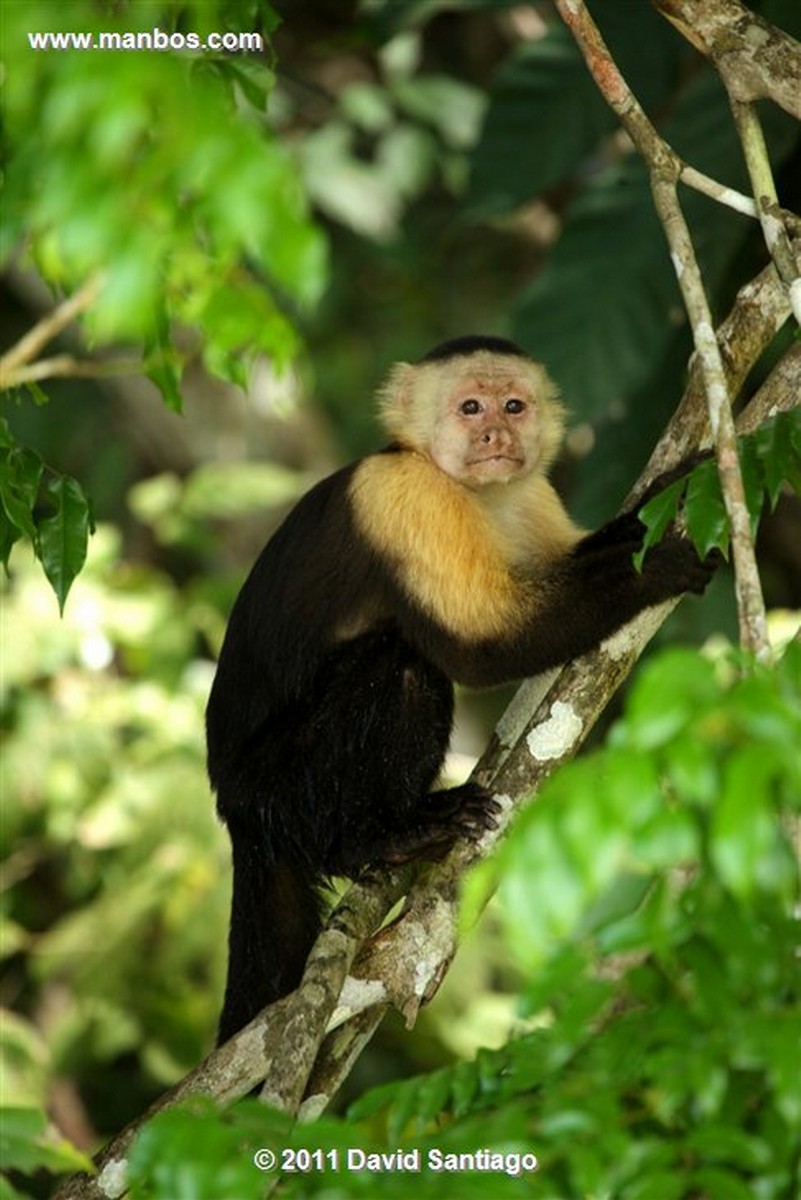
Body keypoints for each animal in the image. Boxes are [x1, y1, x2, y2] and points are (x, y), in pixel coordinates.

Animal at [206, 336, 714, 1041]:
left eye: (514, 405)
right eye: (470, 407)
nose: (497, 433)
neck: (473, 494)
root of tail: (233, 804)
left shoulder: (530, 496)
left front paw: (679, 484)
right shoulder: (407, 498)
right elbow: (485, 645)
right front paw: (660, 564)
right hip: (277, 783)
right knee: (403, 662)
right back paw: (379, 837)